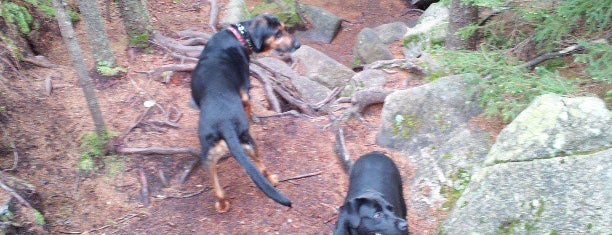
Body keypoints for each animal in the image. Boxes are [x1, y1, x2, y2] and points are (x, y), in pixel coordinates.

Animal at [189, 14, 298, 213]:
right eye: (278, 33)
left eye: (285, 28)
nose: (298, 44)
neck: (239, 34)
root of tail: (224, 124)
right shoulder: (246, 94)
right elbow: (249, 109)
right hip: (249, 142)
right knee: (261, 167)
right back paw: (272, 179)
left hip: (208, 156)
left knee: (217, 185)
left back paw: (222, 203)